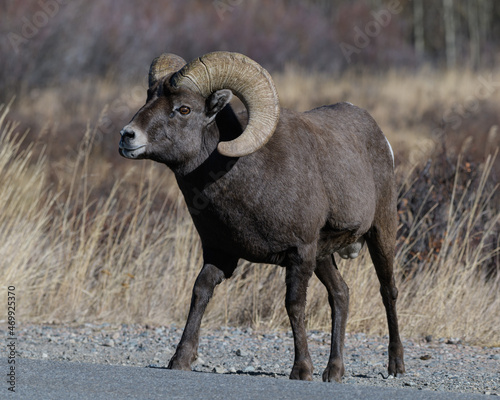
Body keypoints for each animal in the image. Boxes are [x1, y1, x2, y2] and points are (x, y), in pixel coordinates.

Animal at [120, 52, 406, 382]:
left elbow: (294, 305)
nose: (127, 136)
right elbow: (200, 293)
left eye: (184, 109)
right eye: (149, 97)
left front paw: (301, 370)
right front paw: (180, 359)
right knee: (340, 294)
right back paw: (334, 371)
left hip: (380, 234)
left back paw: (396, 365)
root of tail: (382, 139)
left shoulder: (299, 254)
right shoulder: (219, 253)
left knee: (388, 291)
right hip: (324, 256)